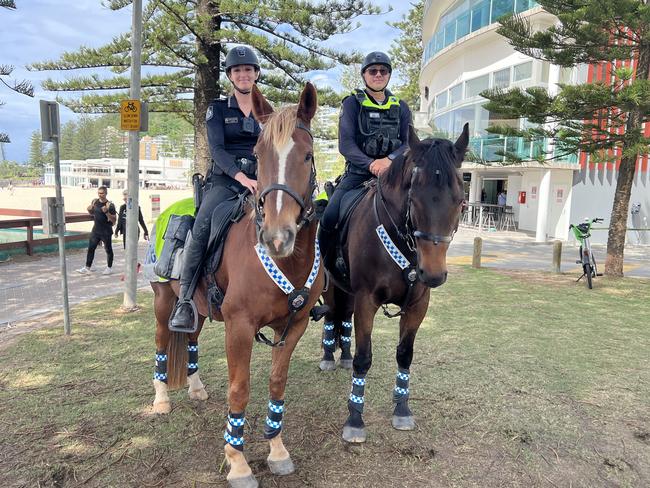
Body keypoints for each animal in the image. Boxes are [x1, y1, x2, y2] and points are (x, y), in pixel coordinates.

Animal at [149, 82, 322, 486]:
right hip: (164, 302)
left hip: (194, 308)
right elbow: (240, 390)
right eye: (258, 155)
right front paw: (238, 462)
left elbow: (276, 382)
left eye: (307, 155)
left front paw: (277, 450)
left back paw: (195, 388)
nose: (277, 236)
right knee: (163, 342)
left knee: (190, 338)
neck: (285, 263)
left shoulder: (295, 326)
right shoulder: (239, 326)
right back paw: (162, 399)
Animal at [318, 123, 466, 442]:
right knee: (333, 315)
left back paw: (342, 354)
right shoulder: (366, 300)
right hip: (331, 285)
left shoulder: (418, 304)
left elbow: (404, 354)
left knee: (343, 317)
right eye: (414, 198)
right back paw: (328, 355)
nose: (433, 274)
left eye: (460, 201)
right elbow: (364, 358)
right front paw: (355, 418)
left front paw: (402, 408)